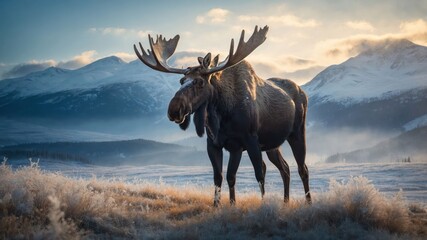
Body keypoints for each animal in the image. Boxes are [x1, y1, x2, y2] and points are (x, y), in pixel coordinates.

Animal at [134, 26, 310, 206]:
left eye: (200, 82)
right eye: (181, 81)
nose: (174, 109)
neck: (220, 117)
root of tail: (303, 92)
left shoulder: (244, 142)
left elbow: (247, 175)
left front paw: (250, 203)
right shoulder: (213, 144)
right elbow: (218, 177)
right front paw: (218, 204)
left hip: (296, 133)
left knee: (302, 169)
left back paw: (308, 201)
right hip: (272, 145)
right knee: (285, 168)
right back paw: (285, 201)